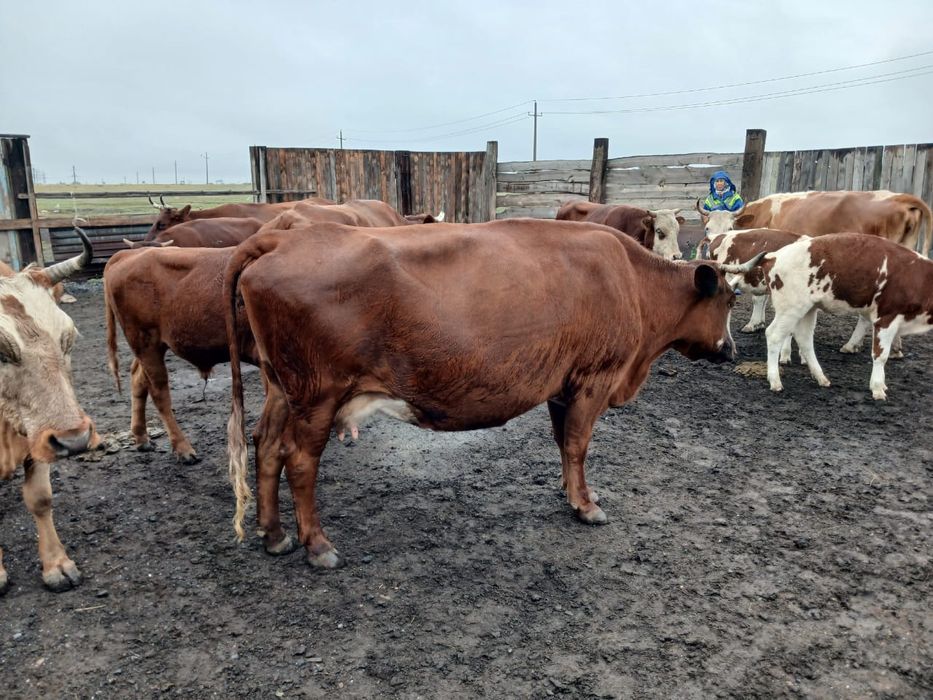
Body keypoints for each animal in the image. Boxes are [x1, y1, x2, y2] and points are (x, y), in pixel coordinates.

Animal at [0, 227, 98, 594]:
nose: (75, 439)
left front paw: (57, 564)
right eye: (1, 350)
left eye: (68, 337)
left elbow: (40, 498)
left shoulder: (38, 437)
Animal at [223, 220, 764, 568]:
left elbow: (563, 444)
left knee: (265, 445)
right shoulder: (593, 378)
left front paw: (571, 493)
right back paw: (317, 546)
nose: (730, 351)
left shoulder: (562, 385)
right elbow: (578, 445)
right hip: (317, 395)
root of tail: (279, 239)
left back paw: (275, 536)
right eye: (729, 299)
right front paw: (586, 506)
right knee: (298, 461)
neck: (630, 278)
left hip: (282, 389)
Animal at [763, 232, 933, 400]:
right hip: (790, 308)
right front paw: (877, 388)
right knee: (774, 335)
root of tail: (774, 256)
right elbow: (881, 355)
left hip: (808, 308)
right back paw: (775, 381)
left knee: (804, 339)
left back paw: (821, 377)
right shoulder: (886, 318)